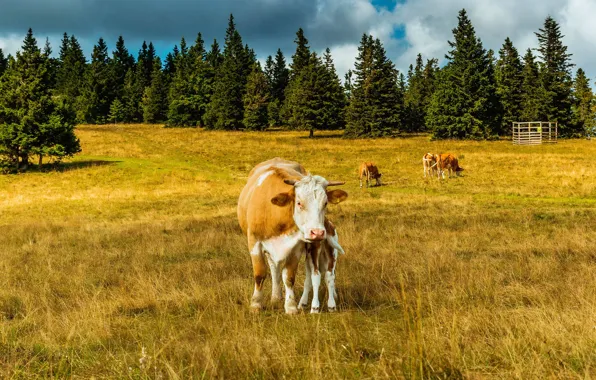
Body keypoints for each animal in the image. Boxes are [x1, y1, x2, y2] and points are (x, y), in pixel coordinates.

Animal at [236, 158, 346, 314]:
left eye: (325, 203)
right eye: (299, 203)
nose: (317, 232)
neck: (274, 213)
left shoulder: (297, 247)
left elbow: (289, 276)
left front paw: (291, 306)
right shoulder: (254, 242)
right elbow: (259, 274)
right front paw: (256, 304)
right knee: (273, 268)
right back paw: (275, 296)